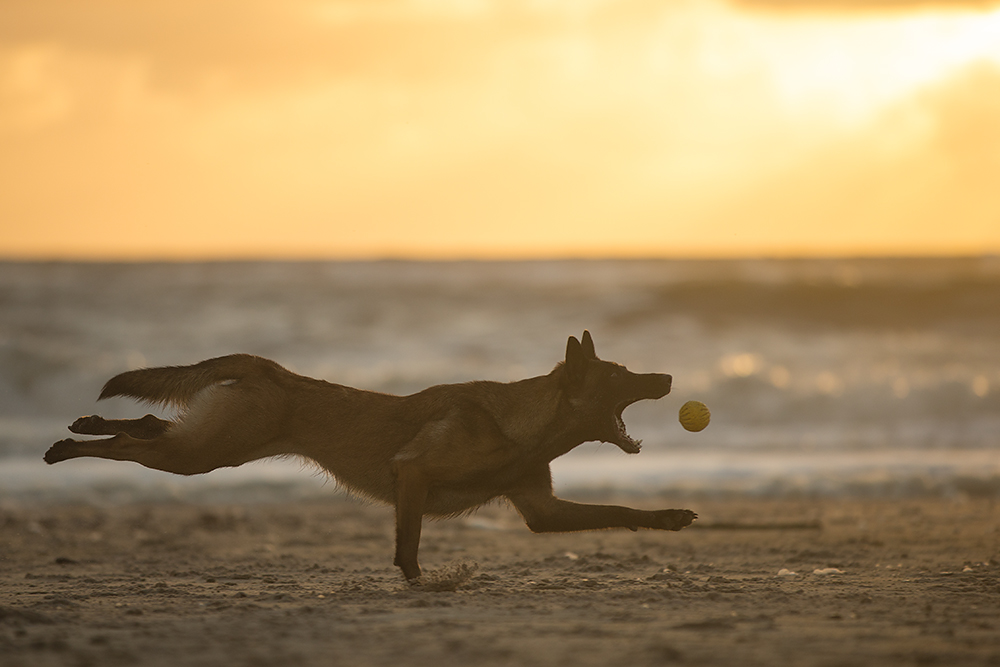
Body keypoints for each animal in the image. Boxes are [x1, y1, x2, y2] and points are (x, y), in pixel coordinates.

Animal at [45, 332, 696, 580]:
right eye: (622, 375)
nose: (666, 377)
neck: (523, 425)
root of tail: (265, 366)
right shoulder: (414, 473)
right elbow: (408, 547)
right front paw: (423, 586)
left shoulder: (545, 513)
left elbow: (621, 511)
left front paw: (670, 517)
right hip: (204, 453)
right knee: (133, 444)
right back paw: (69, 443)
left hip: (211, 445)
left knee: (151, 426)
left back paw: (85, 423)